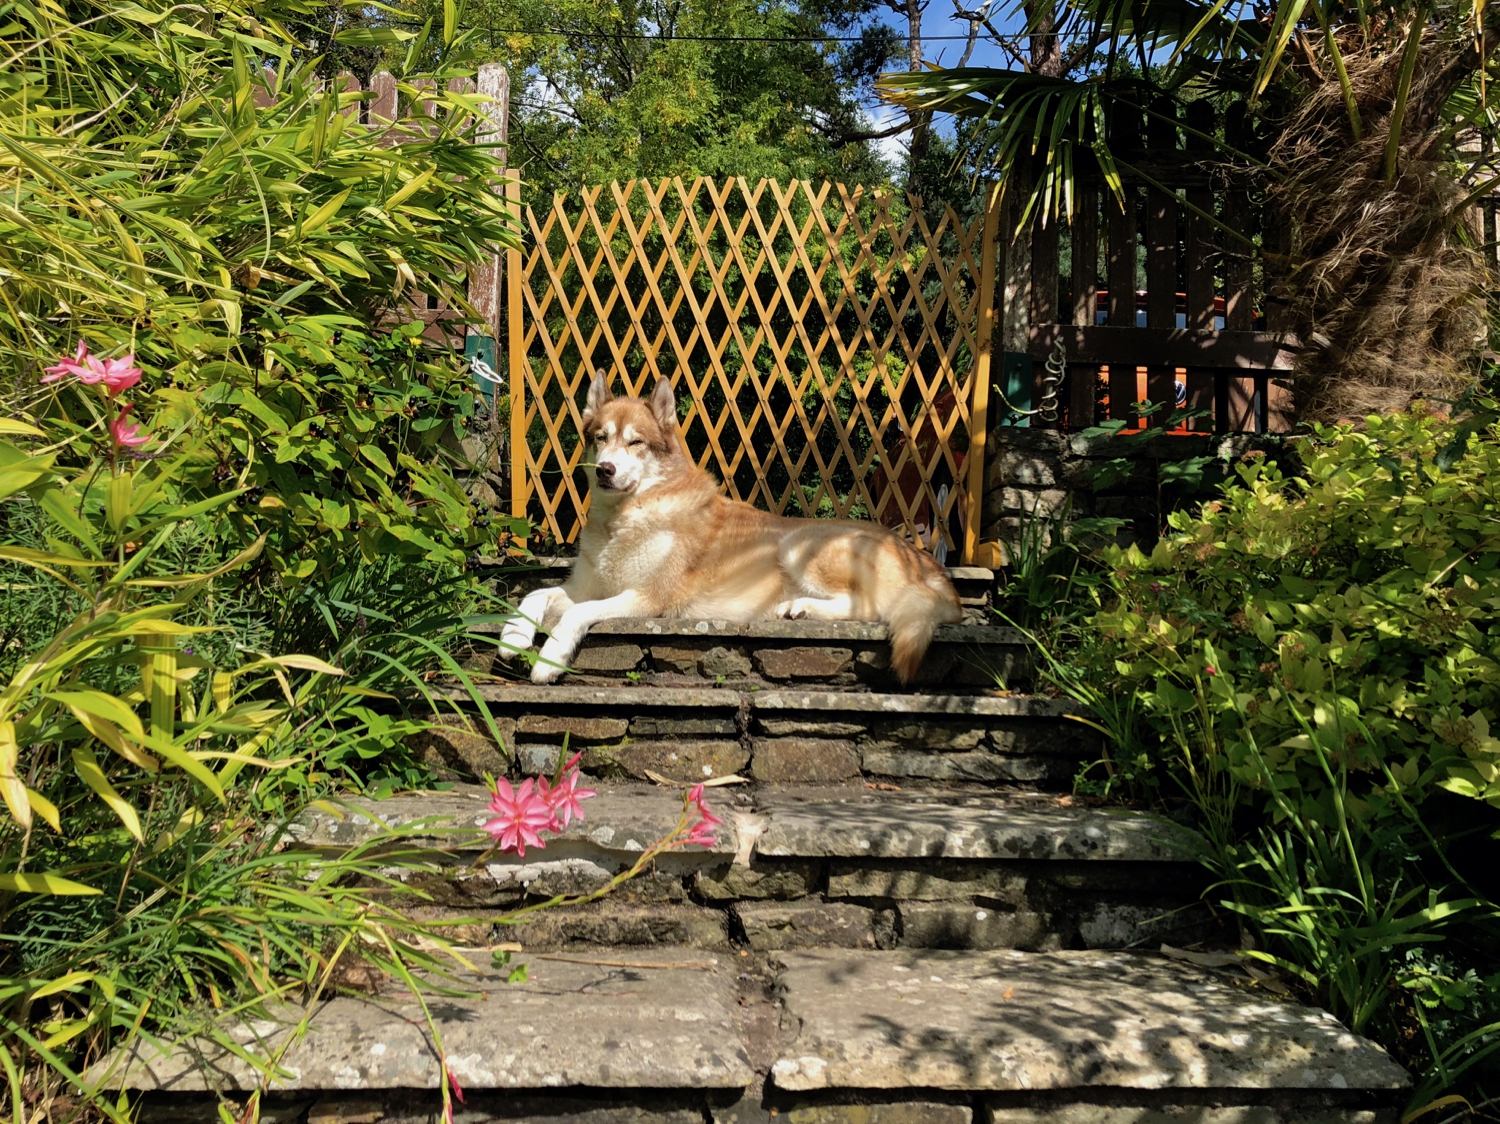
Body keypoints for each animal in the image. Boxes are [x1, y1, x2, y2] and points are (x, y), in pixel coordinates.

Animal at [498, 375, 966, 684]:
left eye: (636, 442)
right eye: (601, 437)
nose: (605, 470)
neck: (624, 520)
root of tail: (927, 562)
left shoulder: (648, 598)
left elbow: (575, 613)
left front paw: (549, 657)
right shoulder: (585, 588)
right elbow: (535, 595)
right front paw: (513, 636)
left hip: (799, 544)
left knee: (868, 608)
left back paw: (799, 607)